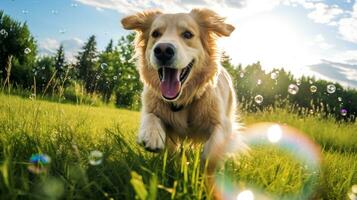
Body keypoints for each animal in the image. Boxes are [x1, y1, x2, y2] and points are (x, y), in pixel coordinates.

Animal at [121, 8, 243, 166]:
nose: (163, 50)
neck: (183, 100)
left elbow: (212, 149)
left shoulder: (223, 124)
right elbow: (151, 116)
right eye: (155, 34)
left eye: (187, 34)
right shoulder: (151, 105)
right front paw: (152, 135)